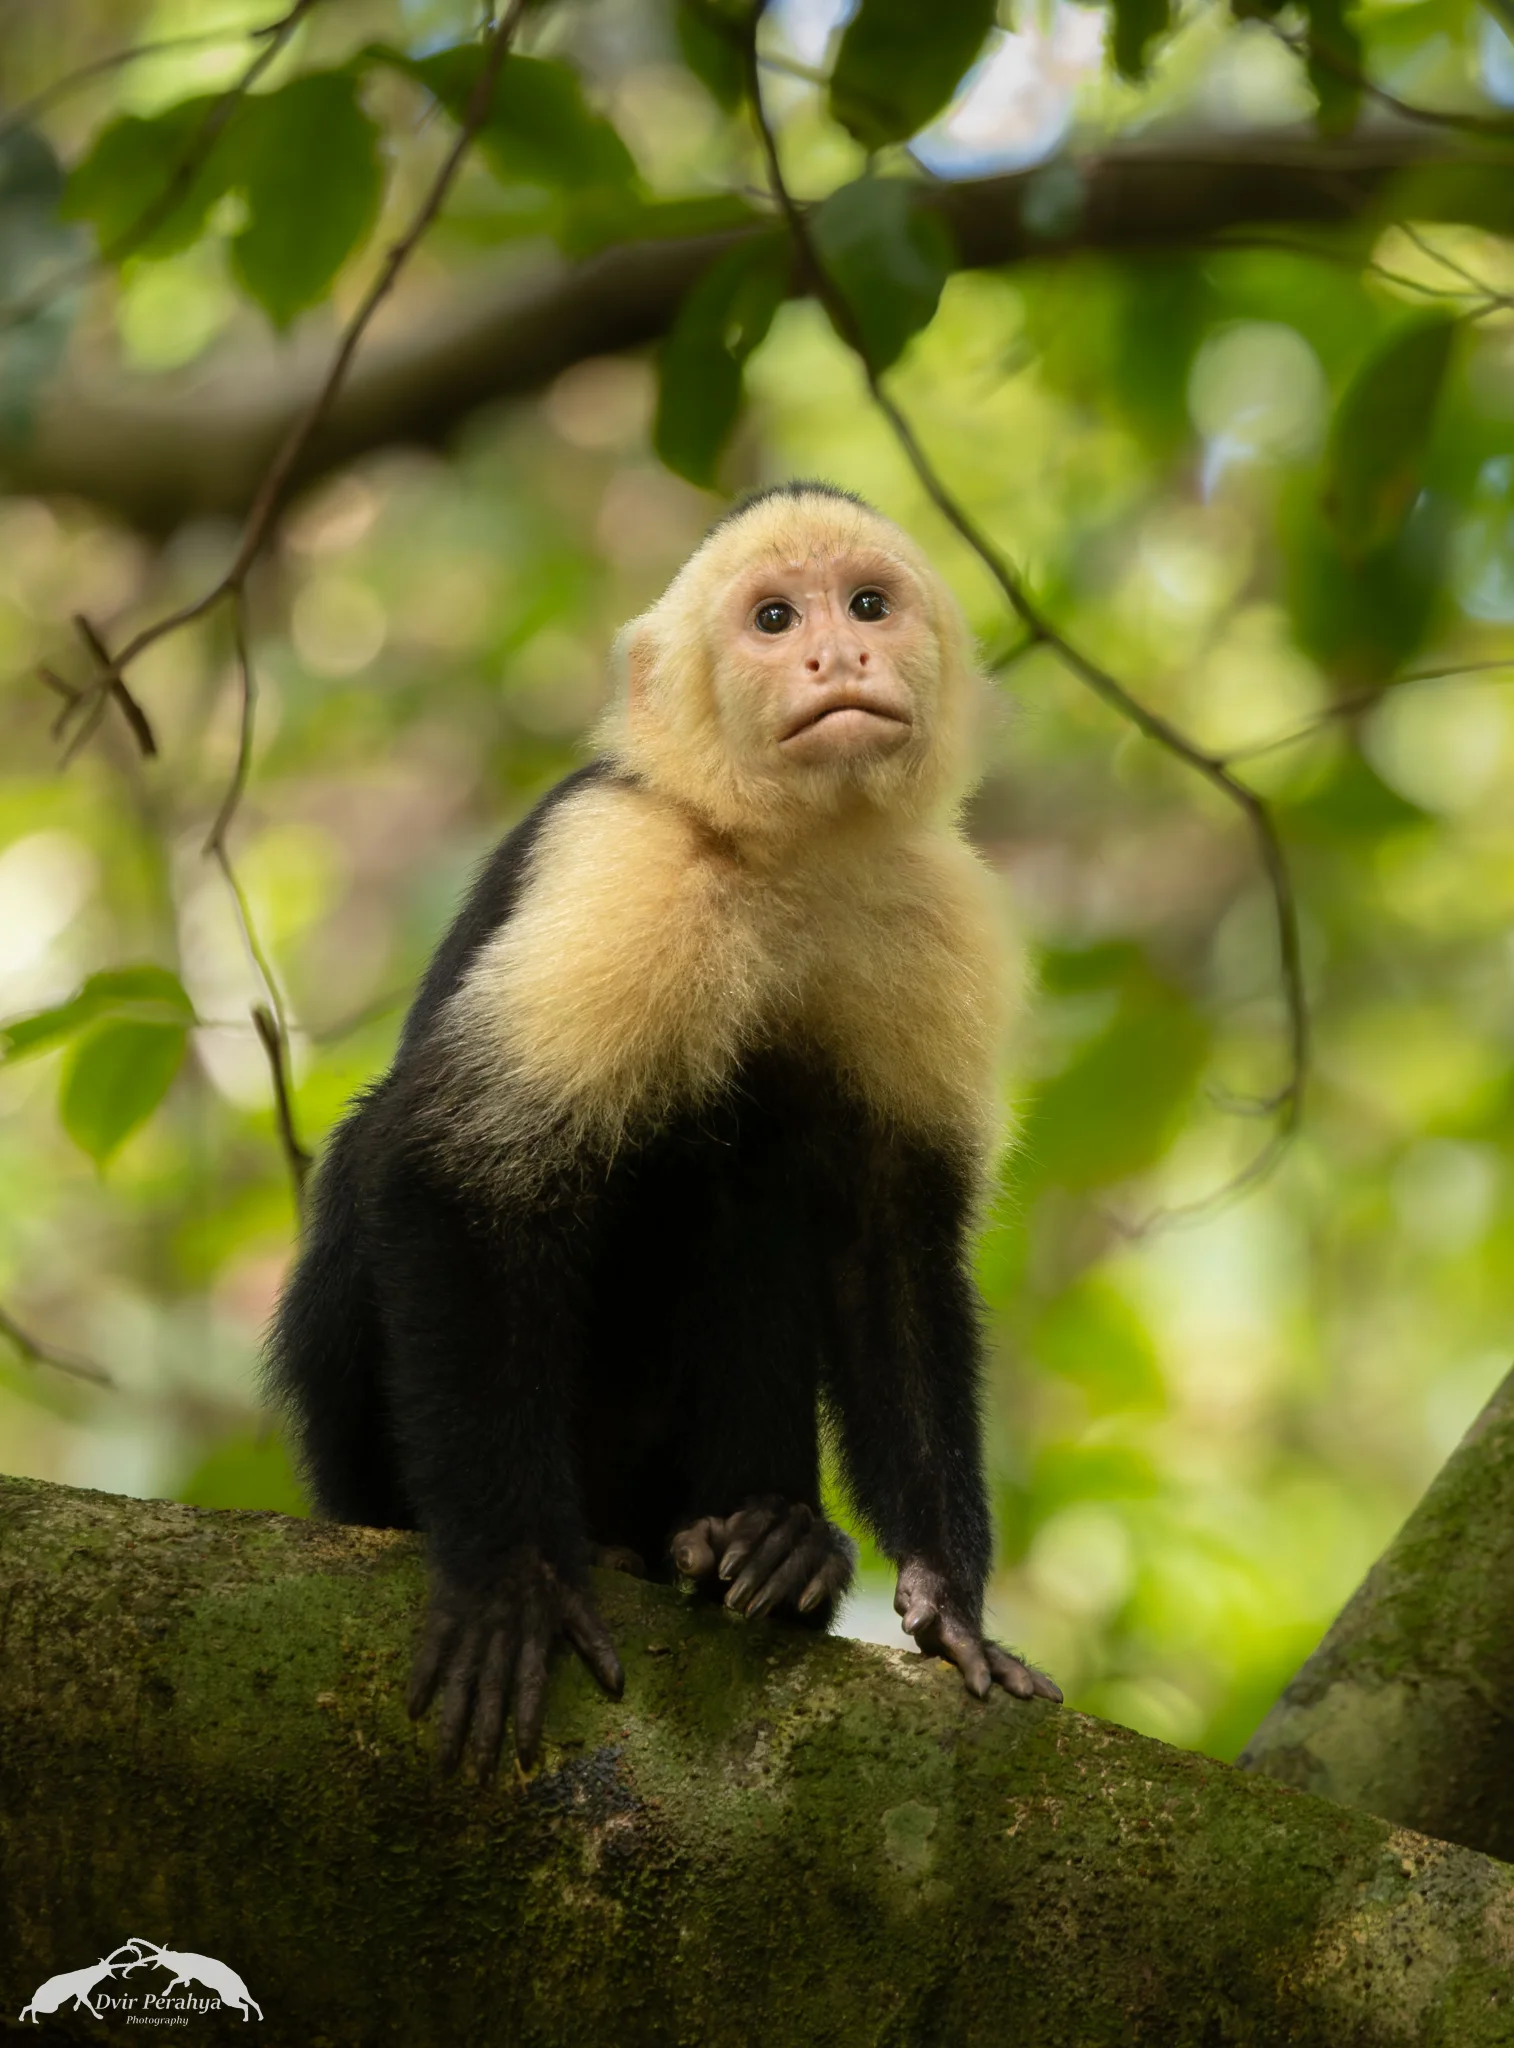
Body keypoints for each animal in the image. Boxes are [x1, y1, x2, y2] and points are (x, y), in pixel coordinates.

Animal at [265, 480, 1062, 1779]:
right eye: (774, 618)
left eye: (868, 604)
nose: (837, 654)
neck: (794, 856)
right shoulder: (620, 857)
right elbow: (455, 1168)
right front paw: (512, 1578)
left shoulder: (936, 909)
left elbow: (888, 1247)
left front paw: (949, 1601)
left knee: (752, 1186)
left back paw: (768, 1541)